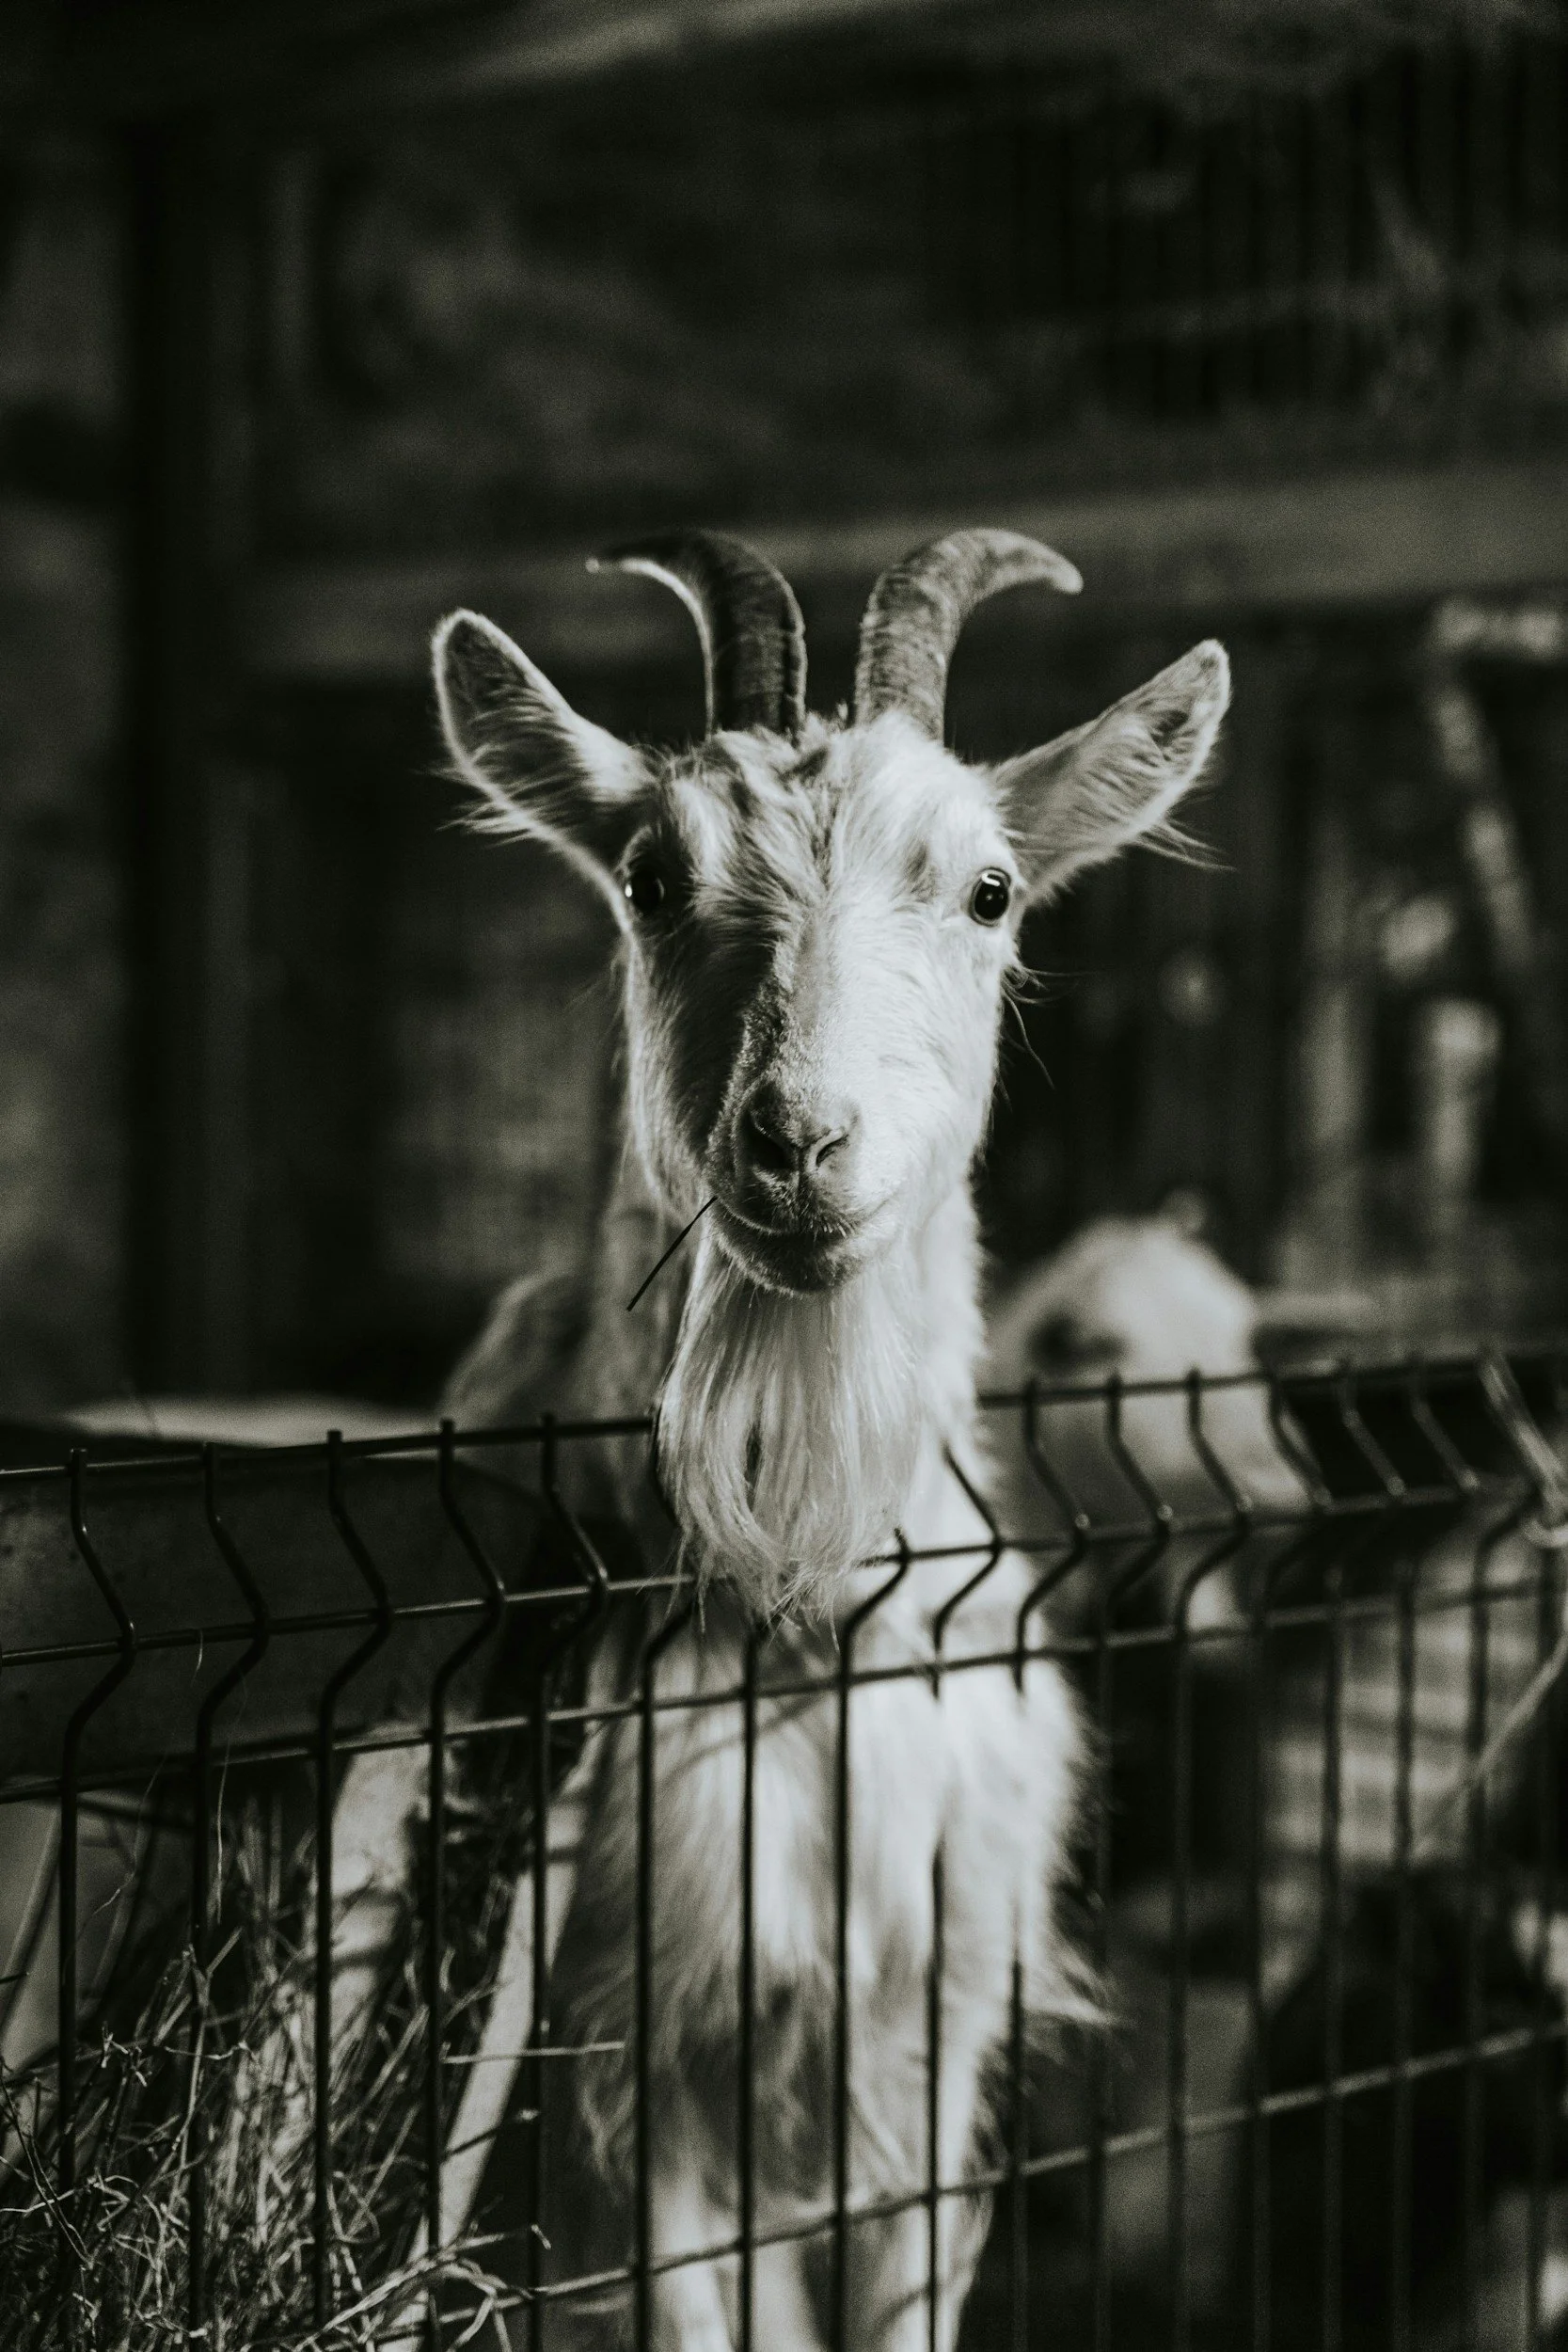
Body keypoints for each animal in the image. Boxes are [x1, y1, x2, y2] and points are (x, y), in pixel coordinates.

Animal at [328, 528, 1230, 2349]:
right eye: (648, 879)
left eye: (988, 889)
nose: (800, 1142)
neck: (802, 1620)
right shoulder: (636, 2073)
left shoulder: (929, 2042)